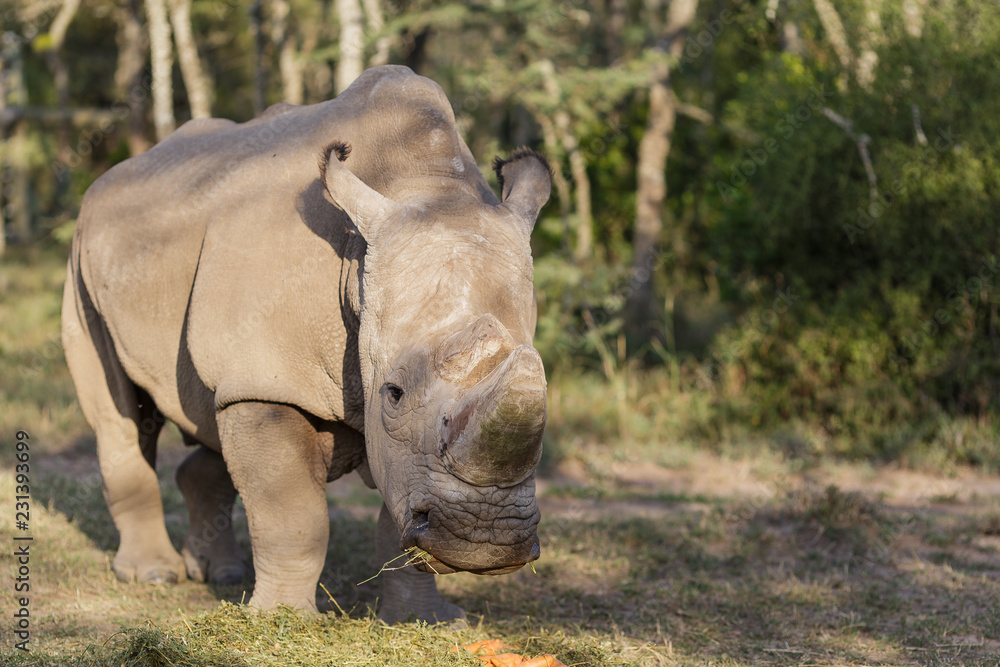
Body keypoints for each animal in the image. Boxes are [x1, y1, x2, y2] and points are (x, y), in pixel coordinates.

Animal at [61, 65, 551, 623]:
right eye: (394, 394)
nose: (486, 539)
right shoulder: (268, 378)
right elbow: (293, 513)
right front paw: (281, 620)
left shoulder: (393, 441)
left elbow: (395, 520)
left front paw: (426, 620)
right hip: (82, 257)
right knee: (119, 412)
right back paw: (154, 575)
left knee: (205, 412)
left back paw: (221, 574)